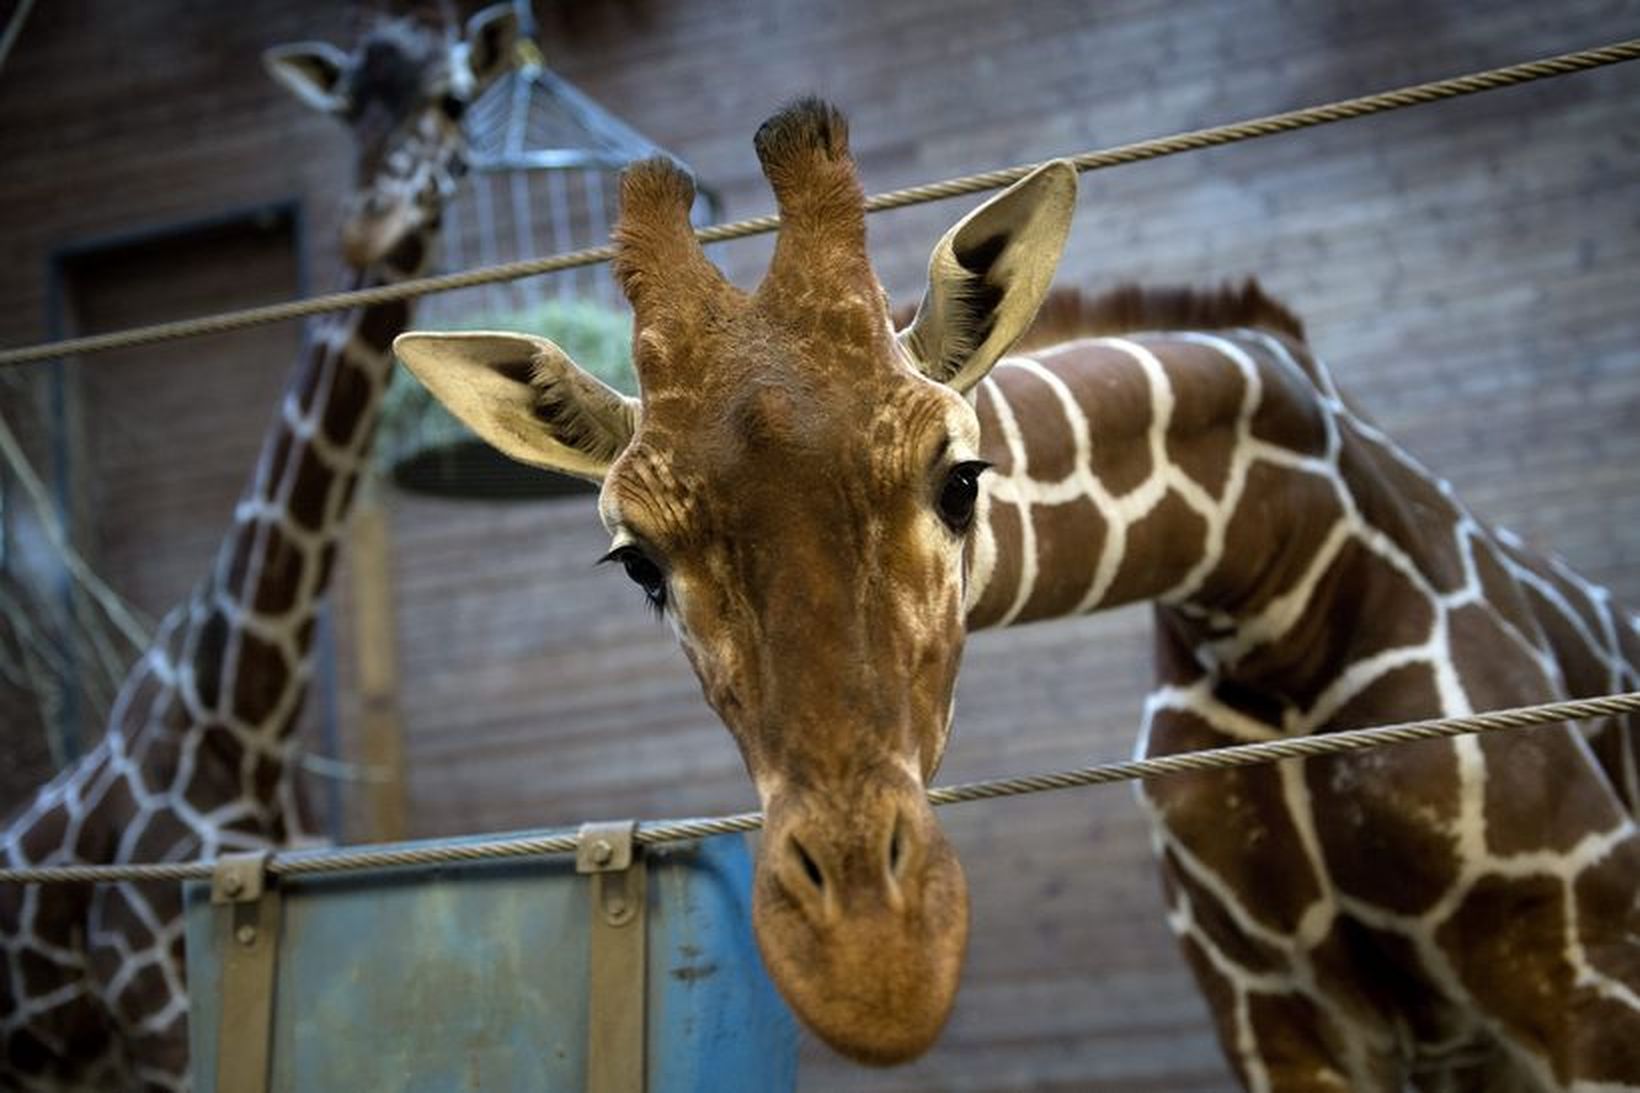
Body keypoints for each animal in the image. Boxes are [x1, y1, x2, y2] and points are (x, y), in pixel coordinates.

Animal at [390, 98, 1633, 1083]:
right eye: (638, 561)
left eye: (959, 478)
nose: (872, 962)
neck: (1271, 585)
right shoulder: (1267, 1012)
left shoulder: (1588, 972)